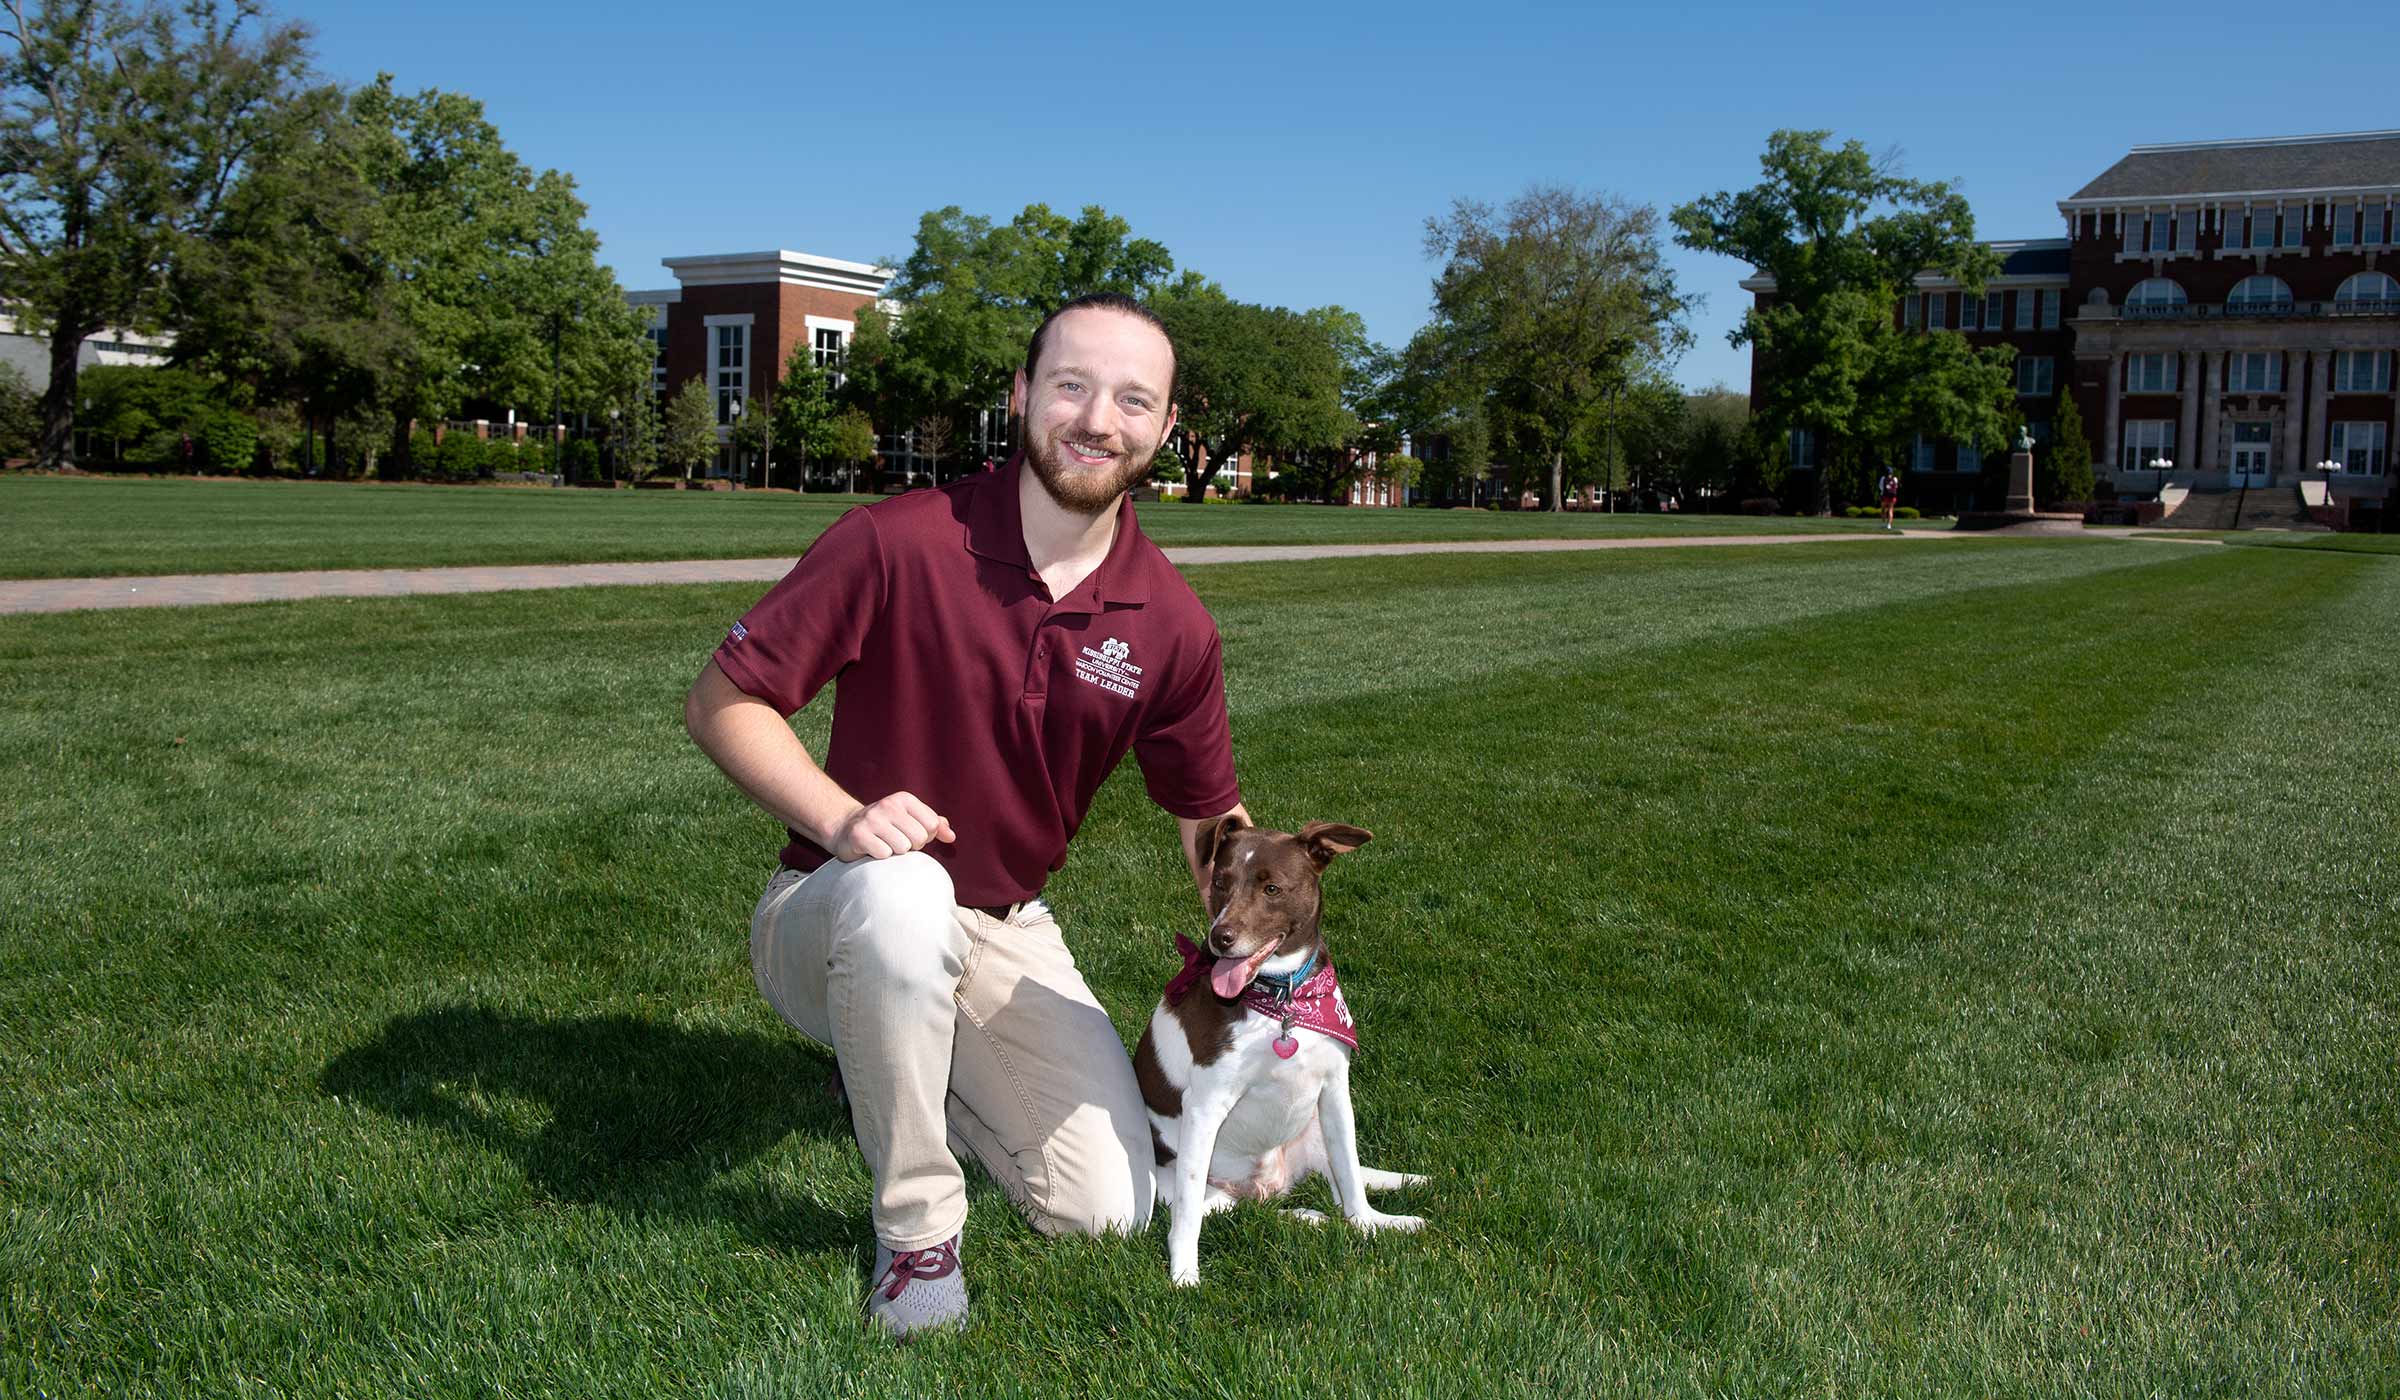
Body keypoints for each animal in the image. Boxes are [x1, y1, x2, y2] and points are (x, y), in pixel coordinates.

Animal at [1128, 816, 1411, 1287]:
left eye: (1272, 889)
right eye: (1219, 883)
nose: (1220, 938)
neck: (1284, 1001)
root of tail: (1270, 1182)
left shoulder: (1335, 1091)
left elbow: (1350, 1173)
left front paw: (1368, 1226)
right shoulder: (1205, 1107)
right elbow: (1187, 1216)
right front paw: (1184, 1273)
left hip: (1313, 1129)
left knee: (1331, 1183)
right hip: (1208, 1187)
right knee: (1243, 1210)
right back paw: (1308, 1216)